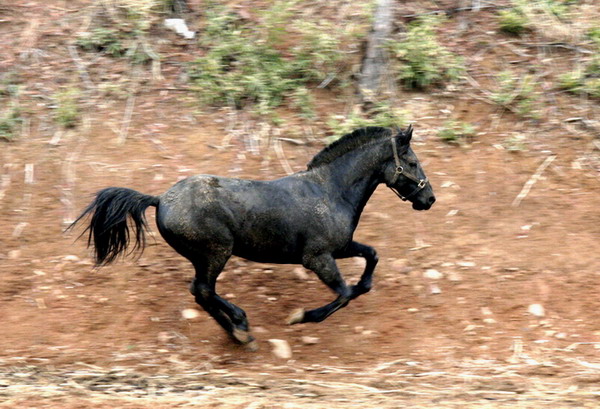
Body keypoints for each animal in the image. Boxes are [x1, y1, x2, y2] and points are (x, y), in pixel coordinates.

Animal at [69, 125, 436, 348]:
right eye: (412, 162)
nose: (429, 199)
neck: (330, 191)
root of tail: (160, 200)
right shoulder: (316, 257)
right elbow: (343, 294)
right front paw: (301, 317)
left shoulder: (340, 247)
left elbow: (371, 257)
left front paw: (363, 287)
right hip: (216, 252)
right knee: (203, 290)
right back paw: (241, 328)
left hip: (209, 256)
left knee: (201, 293)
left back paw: (237, 332)